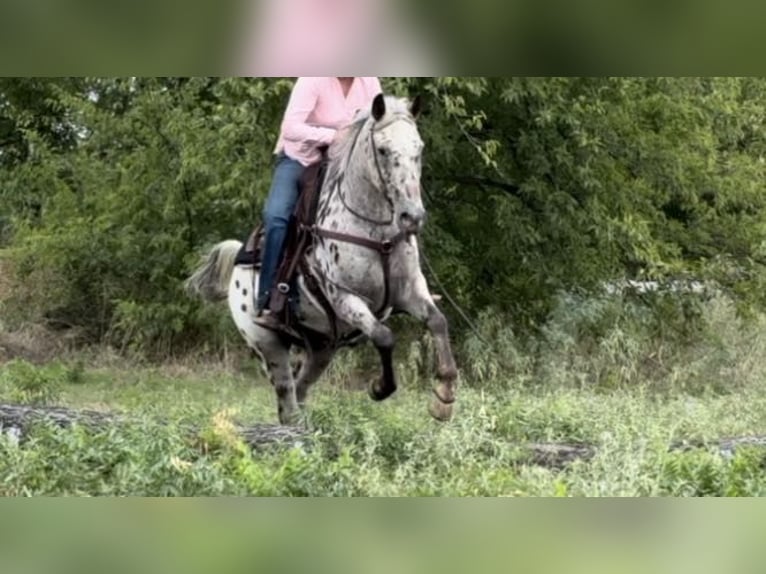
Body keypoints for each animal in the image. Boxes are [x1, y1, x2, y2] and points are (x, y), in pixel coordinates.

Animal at [185, 94, 458, 425]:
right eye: (382, 150)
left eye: (418, 148)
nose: (412, 217)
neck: (375, 232)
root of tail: (238, 261)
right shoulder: (346, 298)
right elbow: (383, 336)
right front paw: (380, 387)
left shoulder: (411, 290)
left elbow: (438, 321)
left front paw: (444, 396)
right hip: (267, 344)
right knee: (288, 398)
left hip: (321, 348)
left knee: (301, 390)